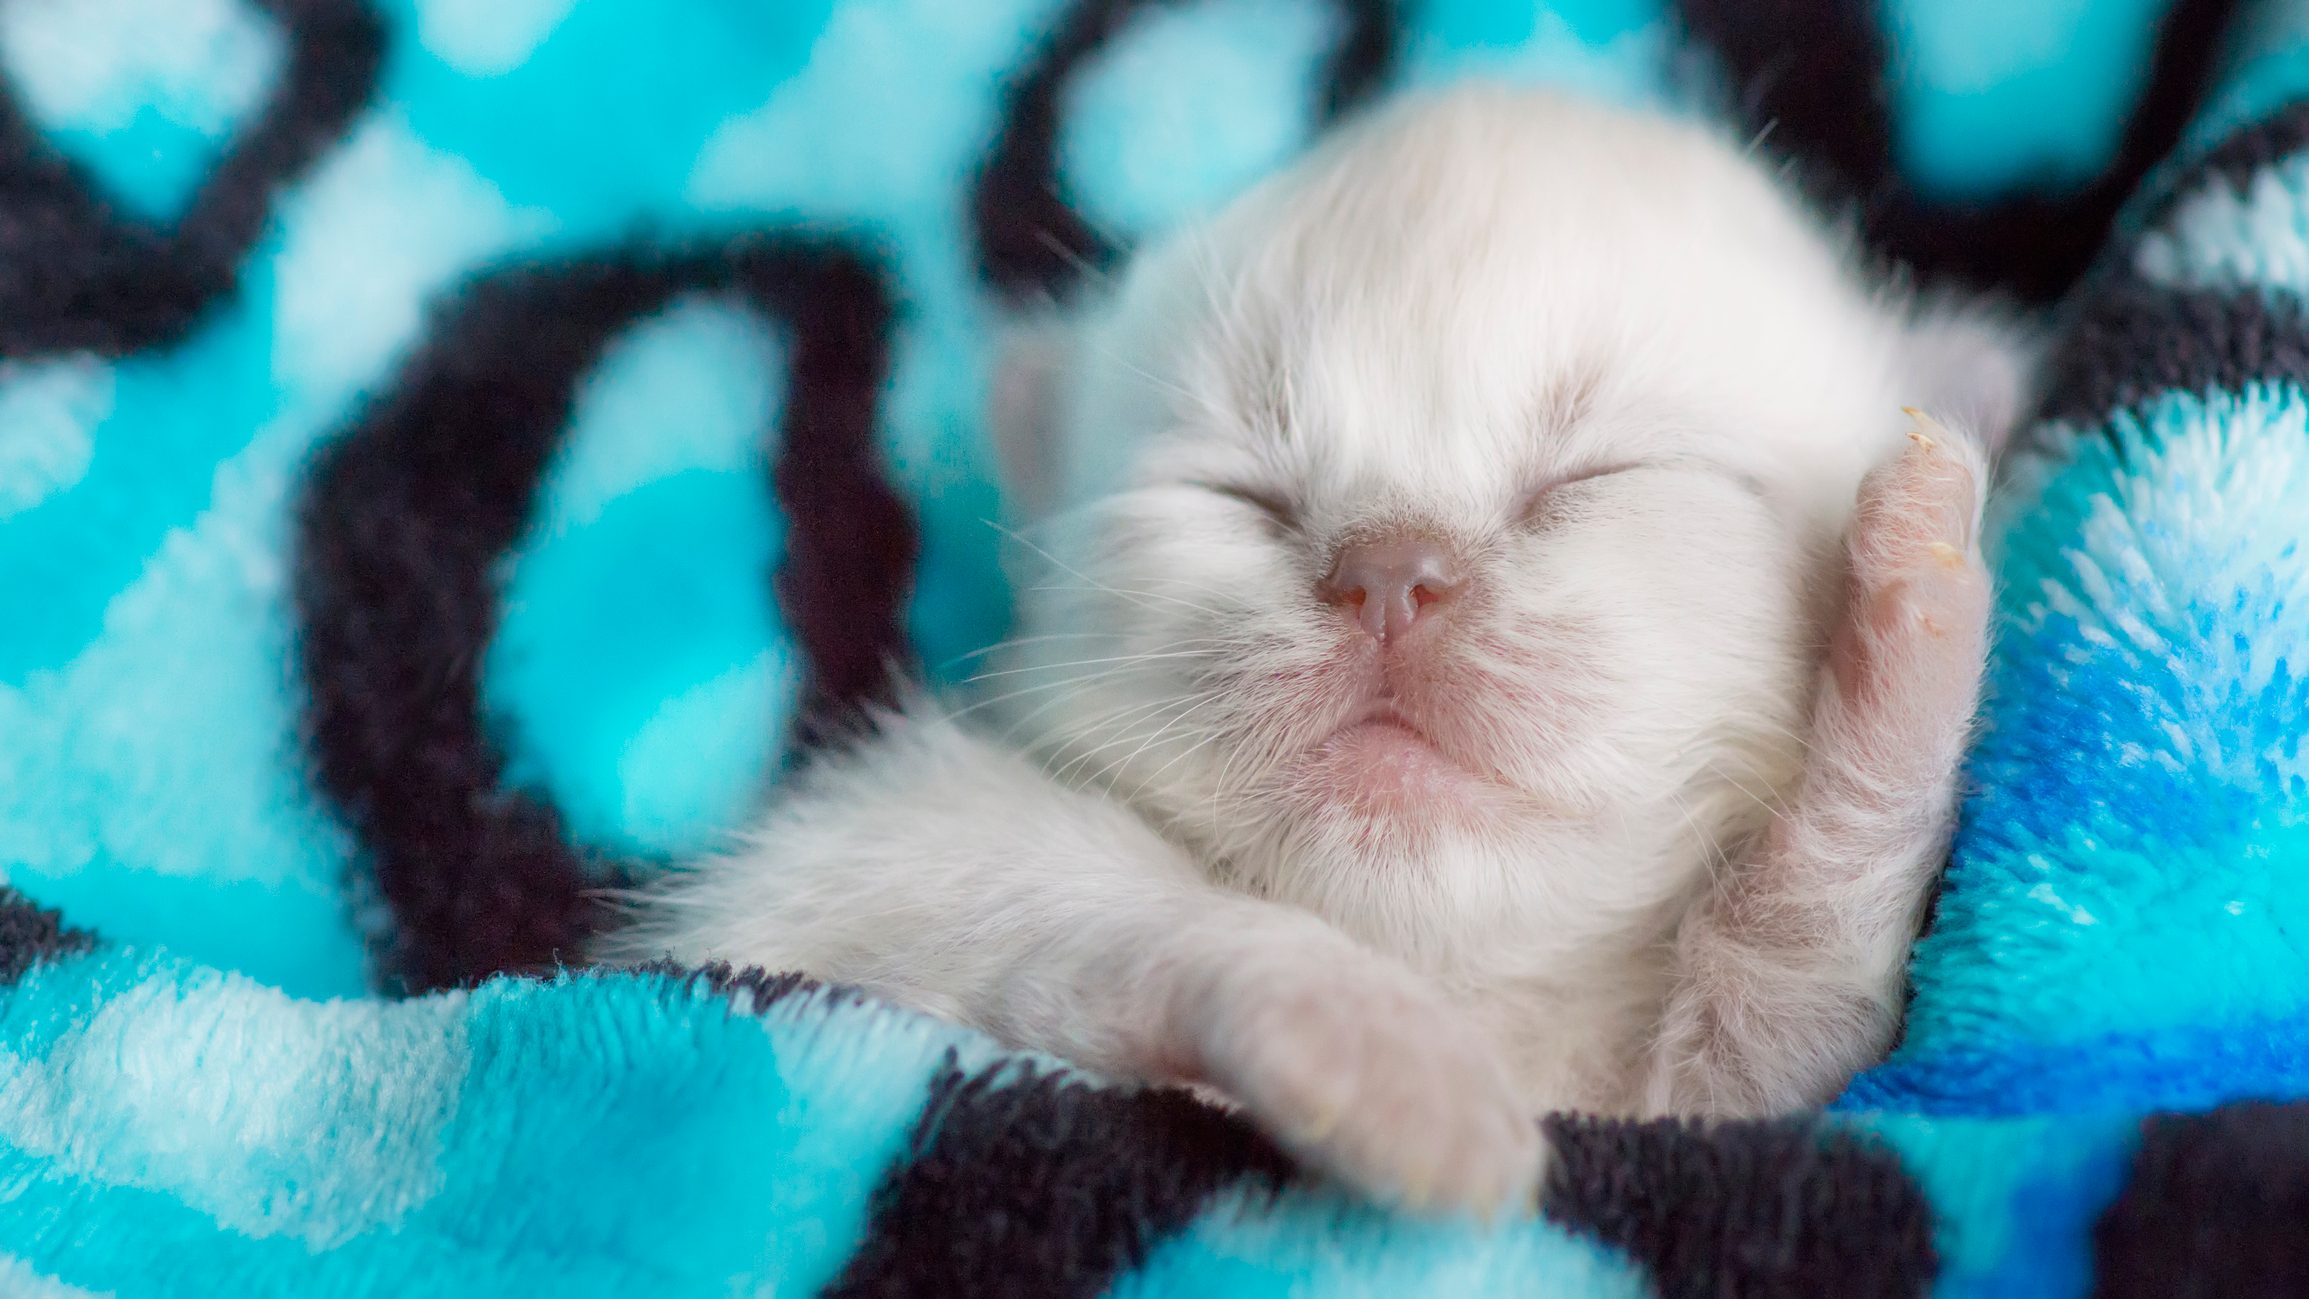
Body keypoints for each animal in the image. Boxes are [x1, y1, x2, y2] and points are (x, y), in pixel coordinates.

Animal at [604, 86, 2031, 1227]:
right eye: (1237, 494)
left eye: (1594, 475)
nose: (1385, 576)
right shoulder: (842, 886)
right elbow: (1075, 892)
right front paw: (1385, 1061)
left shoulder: (1737, 1118)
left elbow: (1796, 986)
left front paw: (1911, 592)